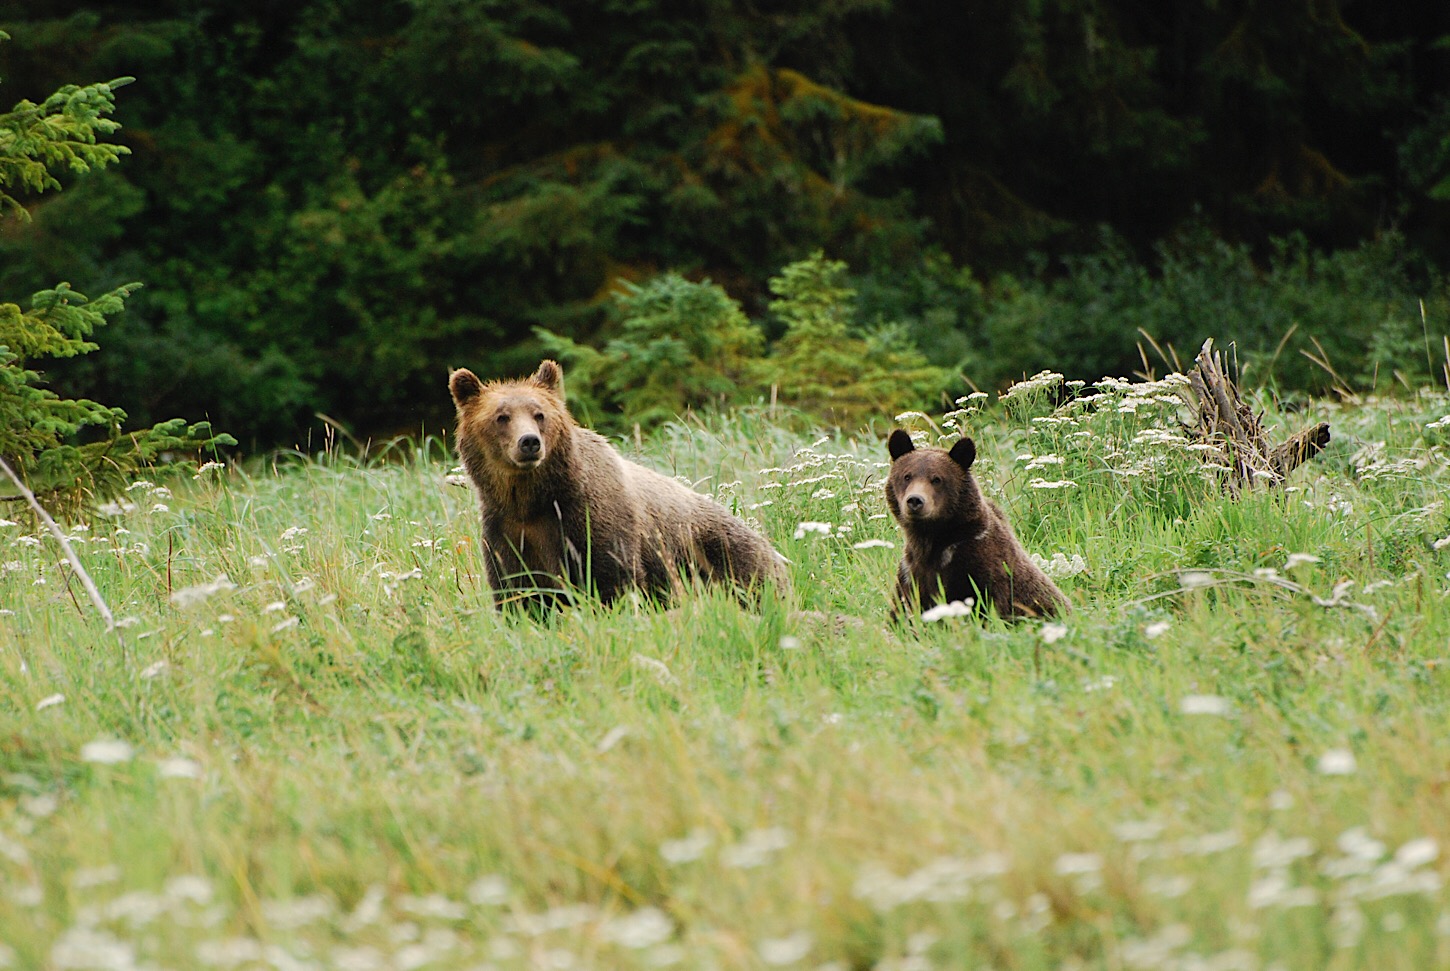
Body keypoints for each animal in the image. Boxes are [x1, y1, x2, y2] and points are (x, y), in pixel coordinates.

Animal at [452, 360, 794, 611]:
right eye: (502, 416)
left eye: (540, 414)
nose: (529, 442)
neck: (531, 499)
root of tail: (772, 547)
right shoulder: (507, 530)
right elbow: (519, 591)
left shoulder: (590, 516)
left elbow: (614, 578)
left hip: (724, 555)